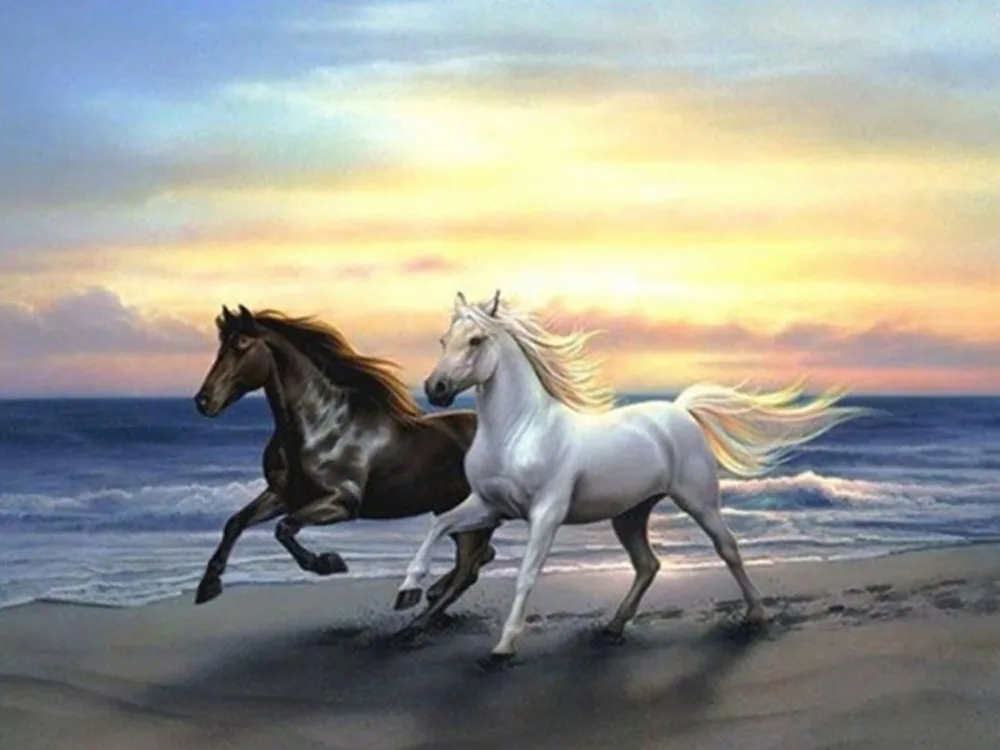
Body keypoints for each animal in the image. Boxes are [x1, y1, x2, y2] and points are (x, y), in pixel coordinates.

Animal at [192, 304, 497, 634]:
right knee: (480, 558)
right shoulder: (283, 495)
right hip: (448, 511)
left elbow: (285, 527)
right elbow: (235, 522)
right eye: (221, 346)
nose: (203, 401)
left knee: (468, 569)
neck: (320, 427)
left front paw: (329, 563)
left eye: (242, 346)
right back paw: (422, 595)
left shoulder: (342, 503)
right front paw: (208, 586)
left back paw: (413, 624)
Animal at [394, 290, 872, 667]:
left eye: (475, 340)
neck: (516, 432)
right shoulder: (489, 506)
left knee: (727, 548)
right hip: (630, 514)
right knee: (648, 564)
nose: (436, 389)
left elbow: (527, 574)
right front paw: (407, 592)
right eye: (443, 340)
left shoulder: (545, 514)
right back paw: (613, 626)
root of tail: (680, 410)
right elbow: (439, 526)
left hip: (699, 501)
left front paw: (503, 647)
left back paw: (755, 615)